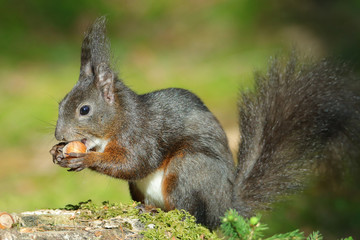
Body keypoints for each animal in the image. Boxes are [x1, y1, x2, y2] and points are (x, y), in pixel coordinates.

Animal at [49, 15, 358, 230]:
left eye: (85, 110)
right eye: (61, 103)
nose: (59, 134)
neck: (119, 121)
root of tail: (224, 209)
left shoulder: (142, 135)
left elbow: (134, 163)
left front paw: (85, 159)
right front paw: (57, 153)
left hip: (189, 169)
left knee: (191, 215)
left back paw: (157, 211)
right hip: (141, 188)